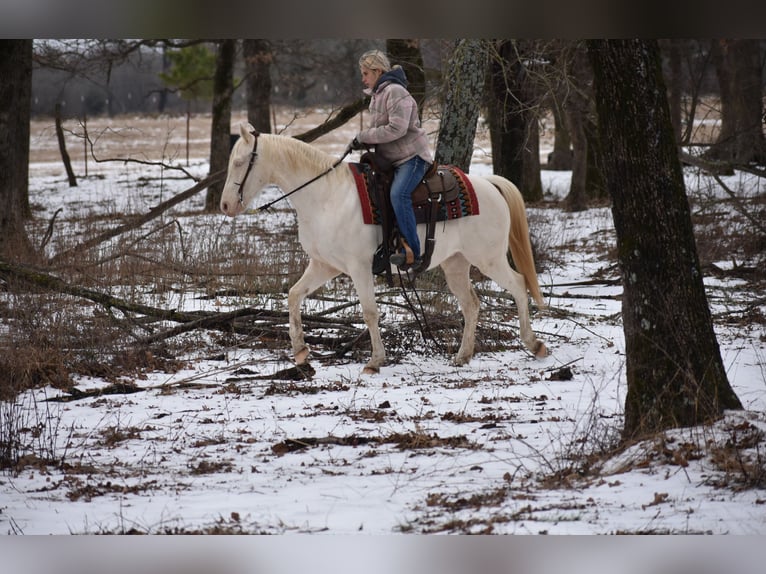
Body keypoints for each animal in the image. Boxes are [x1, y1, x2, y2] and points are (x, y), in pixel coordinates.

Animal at [220, 122, 547, 374]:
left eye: (239, 162)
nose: (225, 205)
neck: (326, 197)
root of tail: (488, 184)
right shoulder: (324, 265)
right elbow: (294, 295)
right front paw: (300, 350)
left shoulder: (359, 267)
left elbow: (369, 311)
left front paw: (375, 361)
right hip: (456, 263)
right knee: (472, 304)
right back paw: (462, 356)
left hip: (489, 258)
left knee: (519, 285)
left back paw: (534, 344)